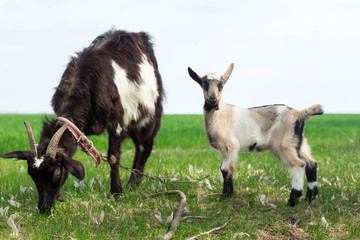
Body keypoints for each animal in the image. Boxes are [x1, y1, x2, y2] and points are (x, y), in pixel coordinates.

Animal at [0, 28, 164, 214]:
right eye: (31, 175)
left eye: (56, 173)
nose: (44, 209)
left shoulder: (116, 120)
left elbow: (113, 157)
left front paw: (116, 192)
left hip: (149, 113)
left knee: (144, 146)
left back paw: (133, 185)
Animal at [188, 63, 324, 206]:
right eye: (203, 84)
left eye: (221, 85)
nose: (213, 99)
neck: (222, 113)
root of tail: (299, 113)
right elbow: (229, 169)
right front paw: (230, 194)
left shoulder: (229, 146)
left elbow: (225, 170)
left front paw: (224, 196)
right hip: (298, 142)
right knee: (311, 164)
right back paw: (310, 198)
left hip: (282, 144)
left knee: (299, 166)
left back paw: (292, 201)